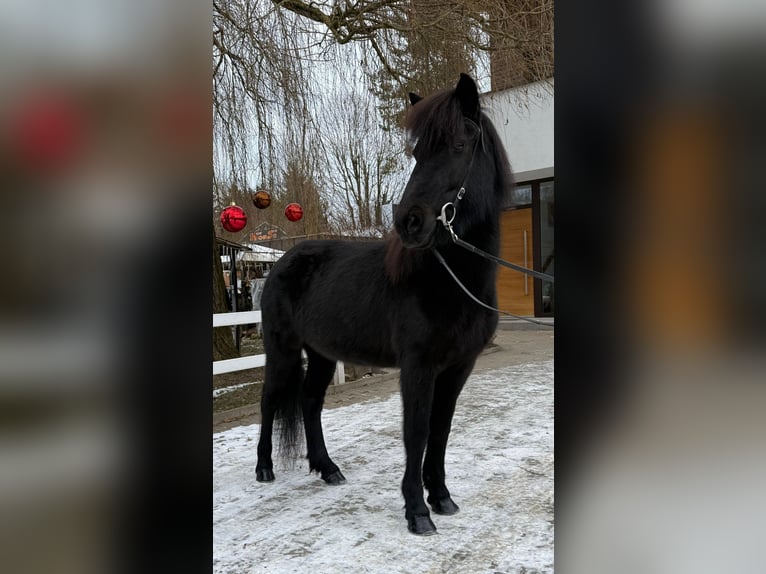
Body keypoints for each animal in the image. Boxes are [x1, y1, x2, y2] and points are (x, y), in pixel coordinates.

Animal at [255, 73, 513, 535]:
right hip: (281, 350)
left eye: (459, 145)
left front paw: (441, 497)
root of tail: (283, 260)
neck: (446, 280)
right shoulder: (418, 366)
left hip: (321, 355)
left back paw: (328, 469)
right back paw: (264, 468)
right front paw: (417, 511)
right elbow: (416, 432)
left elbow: (440, 430)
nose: (409, 222)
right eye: (417, 153)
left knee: (309, 401)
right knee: (270, 400)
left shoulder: (459, 367)